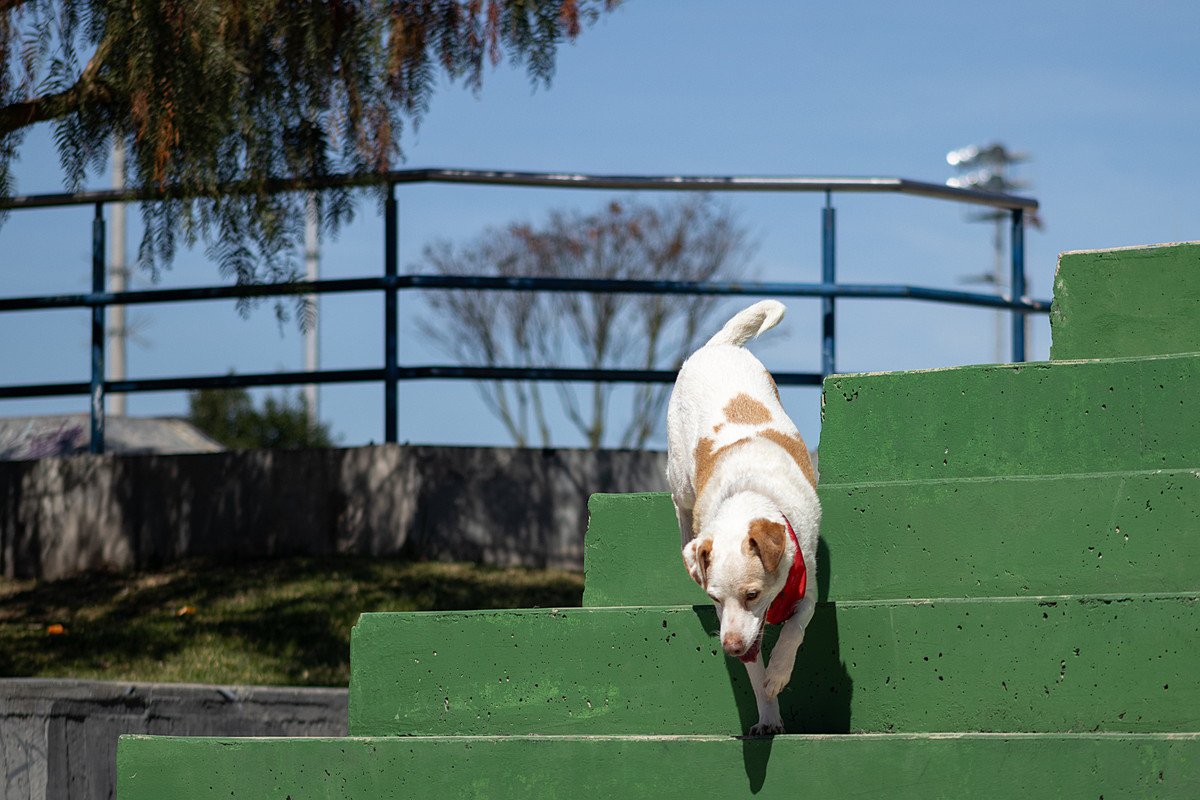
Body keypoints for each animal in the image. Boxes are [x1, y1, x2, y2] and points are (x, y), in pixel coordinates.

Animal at [662, 302, 820, 738]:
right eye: (715, 599)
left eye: (753, 594)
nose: (730, 647)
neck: (748, 496)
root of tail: (717, 347)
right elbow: (754, 674)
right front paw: (768, 712)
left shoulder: (808, 586)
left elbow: (794, 630)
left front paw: (778, 672)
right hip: (681, 475)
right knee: (678, 501)